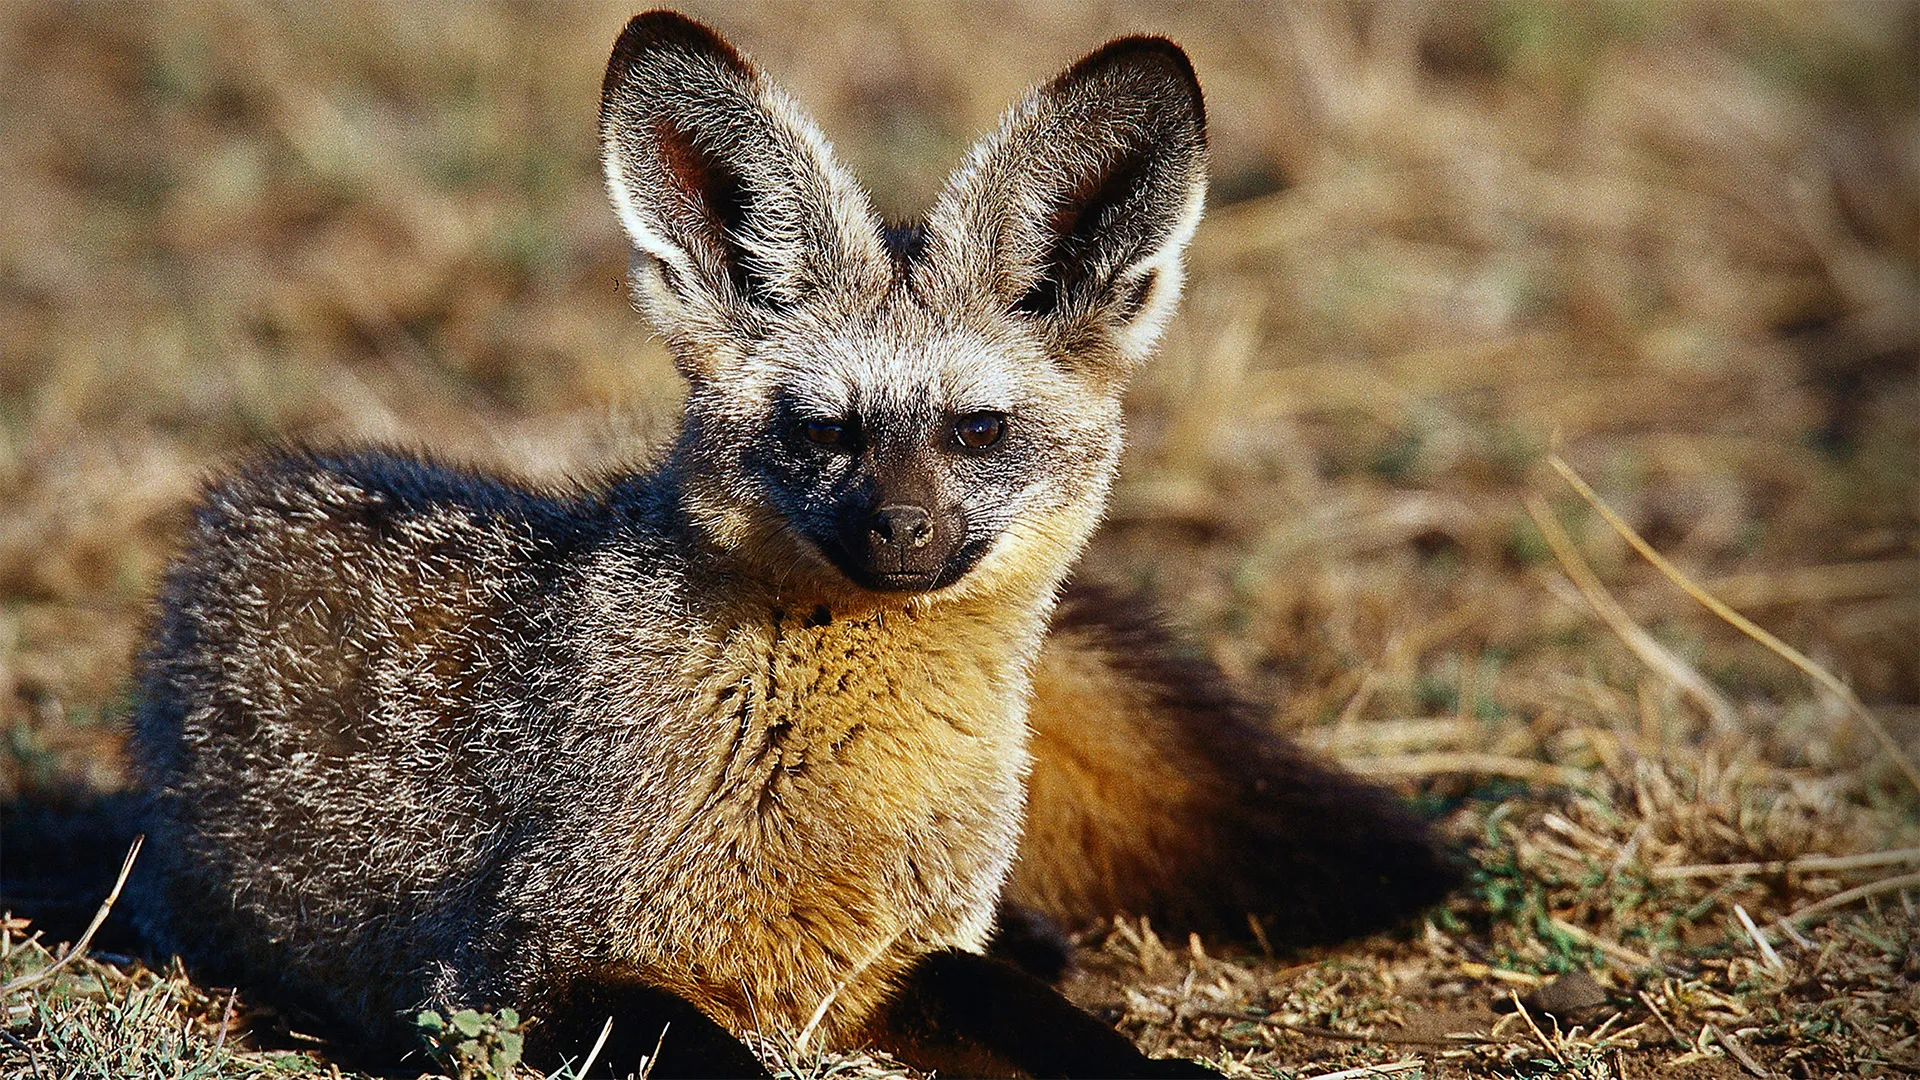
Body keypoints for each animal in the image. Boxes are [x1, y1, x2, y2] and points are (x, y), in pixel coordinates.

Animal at [123, 11, 1460, 1079]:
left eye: (976, 430)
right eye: (825, 430)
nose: (901, 531)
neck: (846, 776)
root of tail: (245, 495)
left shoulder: (888, 966)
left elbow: (1044, 1018)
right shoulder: (509, 978)